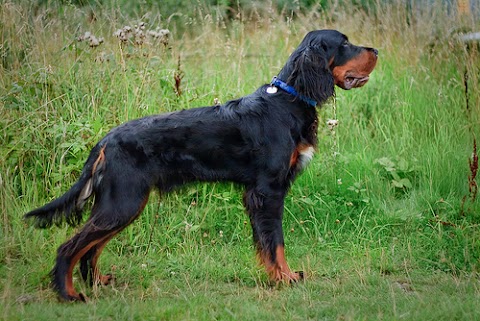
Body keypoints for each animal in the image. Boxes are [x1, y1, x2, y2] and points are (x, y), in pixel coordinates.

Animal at [25, 29, 378, 300]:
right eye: (344, 44)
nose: (375, 50)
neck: (288, 99)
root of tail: (105, 141)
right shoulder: (267, 191)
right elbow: (275, 242)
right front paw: (284, 278)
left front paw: (280, 276)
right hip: (123, 201)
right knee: (71, 247)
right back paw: (69, 294)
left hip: (121, 203)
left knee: (91, 248)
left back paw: (97, 283)